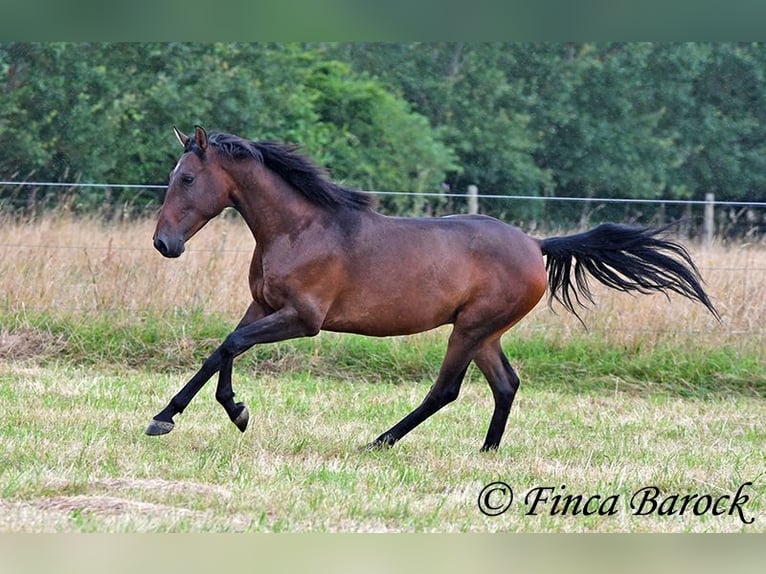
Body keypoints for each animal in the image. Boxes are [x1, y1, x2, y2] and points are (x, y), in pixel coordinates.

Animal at [148, 127, 720, 454]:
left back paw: (379, 441)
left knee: (446, 390)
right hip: (485, 333)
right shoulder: (263, 304)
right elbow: (221, 350)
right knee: (506, 384)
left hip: (470, 329)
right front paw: (179, 415)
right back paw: (486, 452)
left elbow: (230, 345)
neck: (300, 228)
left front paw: (221, 413)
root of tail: (535, 244)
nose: (163, 244)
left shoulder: (302, 319)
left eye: (188, 179)